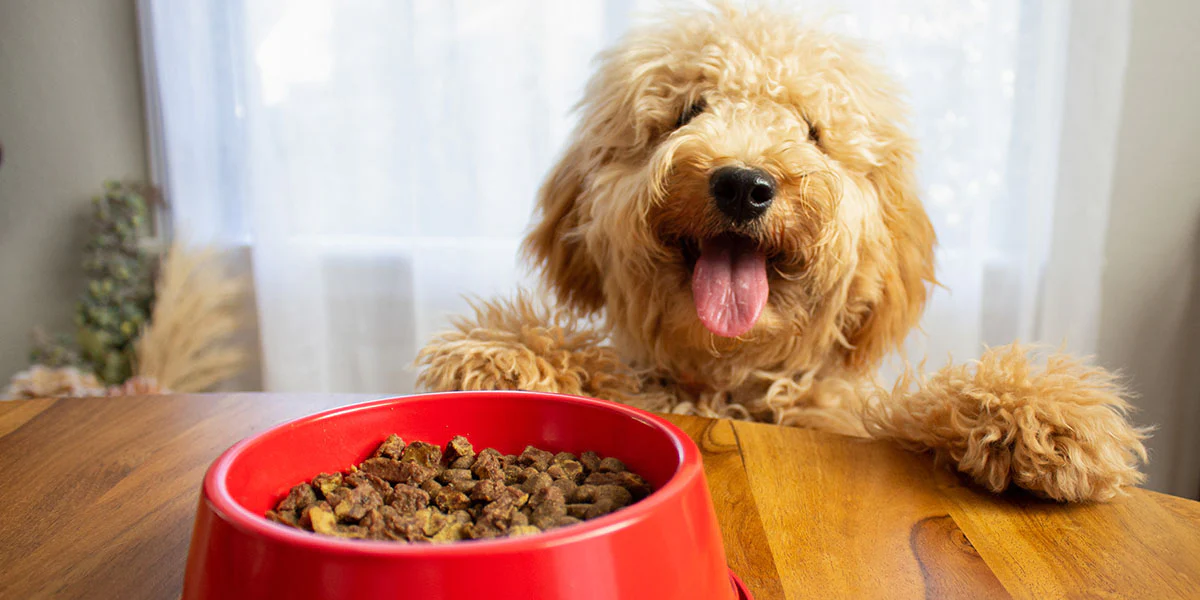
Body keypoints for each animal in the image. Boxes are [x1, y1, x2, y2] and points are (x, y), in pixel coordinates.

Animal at [417, 3, 1147, 501]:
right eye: (687, 112)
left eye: (811, 130)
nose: (743, 184)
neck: (730, 381)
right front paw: (502, 358)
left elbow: (914, 412)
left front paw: (1043, 416)